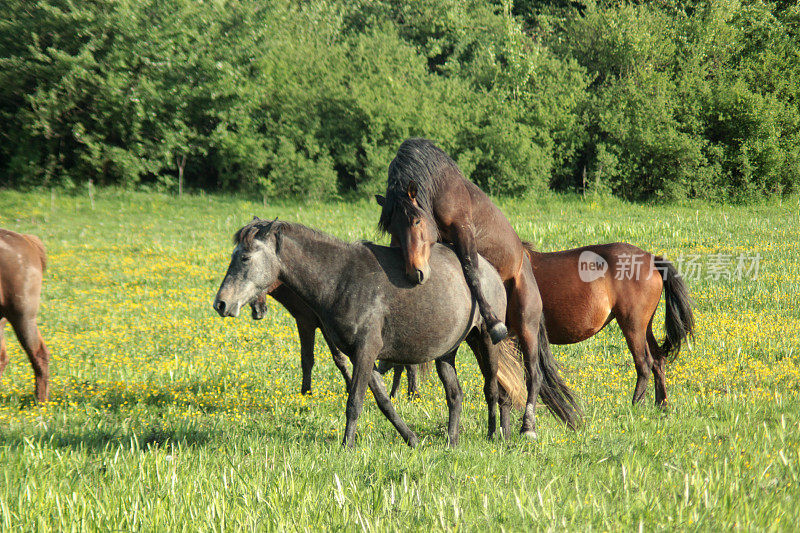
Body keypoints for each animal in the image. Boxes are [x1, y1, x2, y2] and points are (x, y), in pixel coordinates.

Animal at [212, 216, 576, 444]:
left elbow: (355, 401)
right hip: (448, 352)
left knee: (495, 389)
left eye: (245, 258)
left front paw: (346, 447)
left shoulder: (366, 351)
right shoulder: (361, 355)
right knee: (456, 395)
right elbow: (384, 401)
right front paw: (411, 438)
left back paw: (498, 435)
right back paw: (452, 441)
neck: (341, 278)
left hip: (485, 340)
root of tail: (491, 271)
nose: (221, 303)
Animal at [378, 138, 580, 436]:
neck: (439, 187)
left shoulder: (465, 232)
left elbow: (472, 271)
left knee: (534, 373)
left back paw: (528, 427)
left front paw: (493, 322)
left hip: (526, 325)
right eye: (392, 228)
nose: (415, 273)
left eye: (416, 220)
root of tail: (526, 262)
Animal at [524, 242, 692, 408]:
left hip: (633, 326)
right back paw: (661, 404)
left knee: (644, 363)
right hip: (645, 327)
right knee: (658, 359)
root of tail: (651, 259)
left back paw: (636, 404)